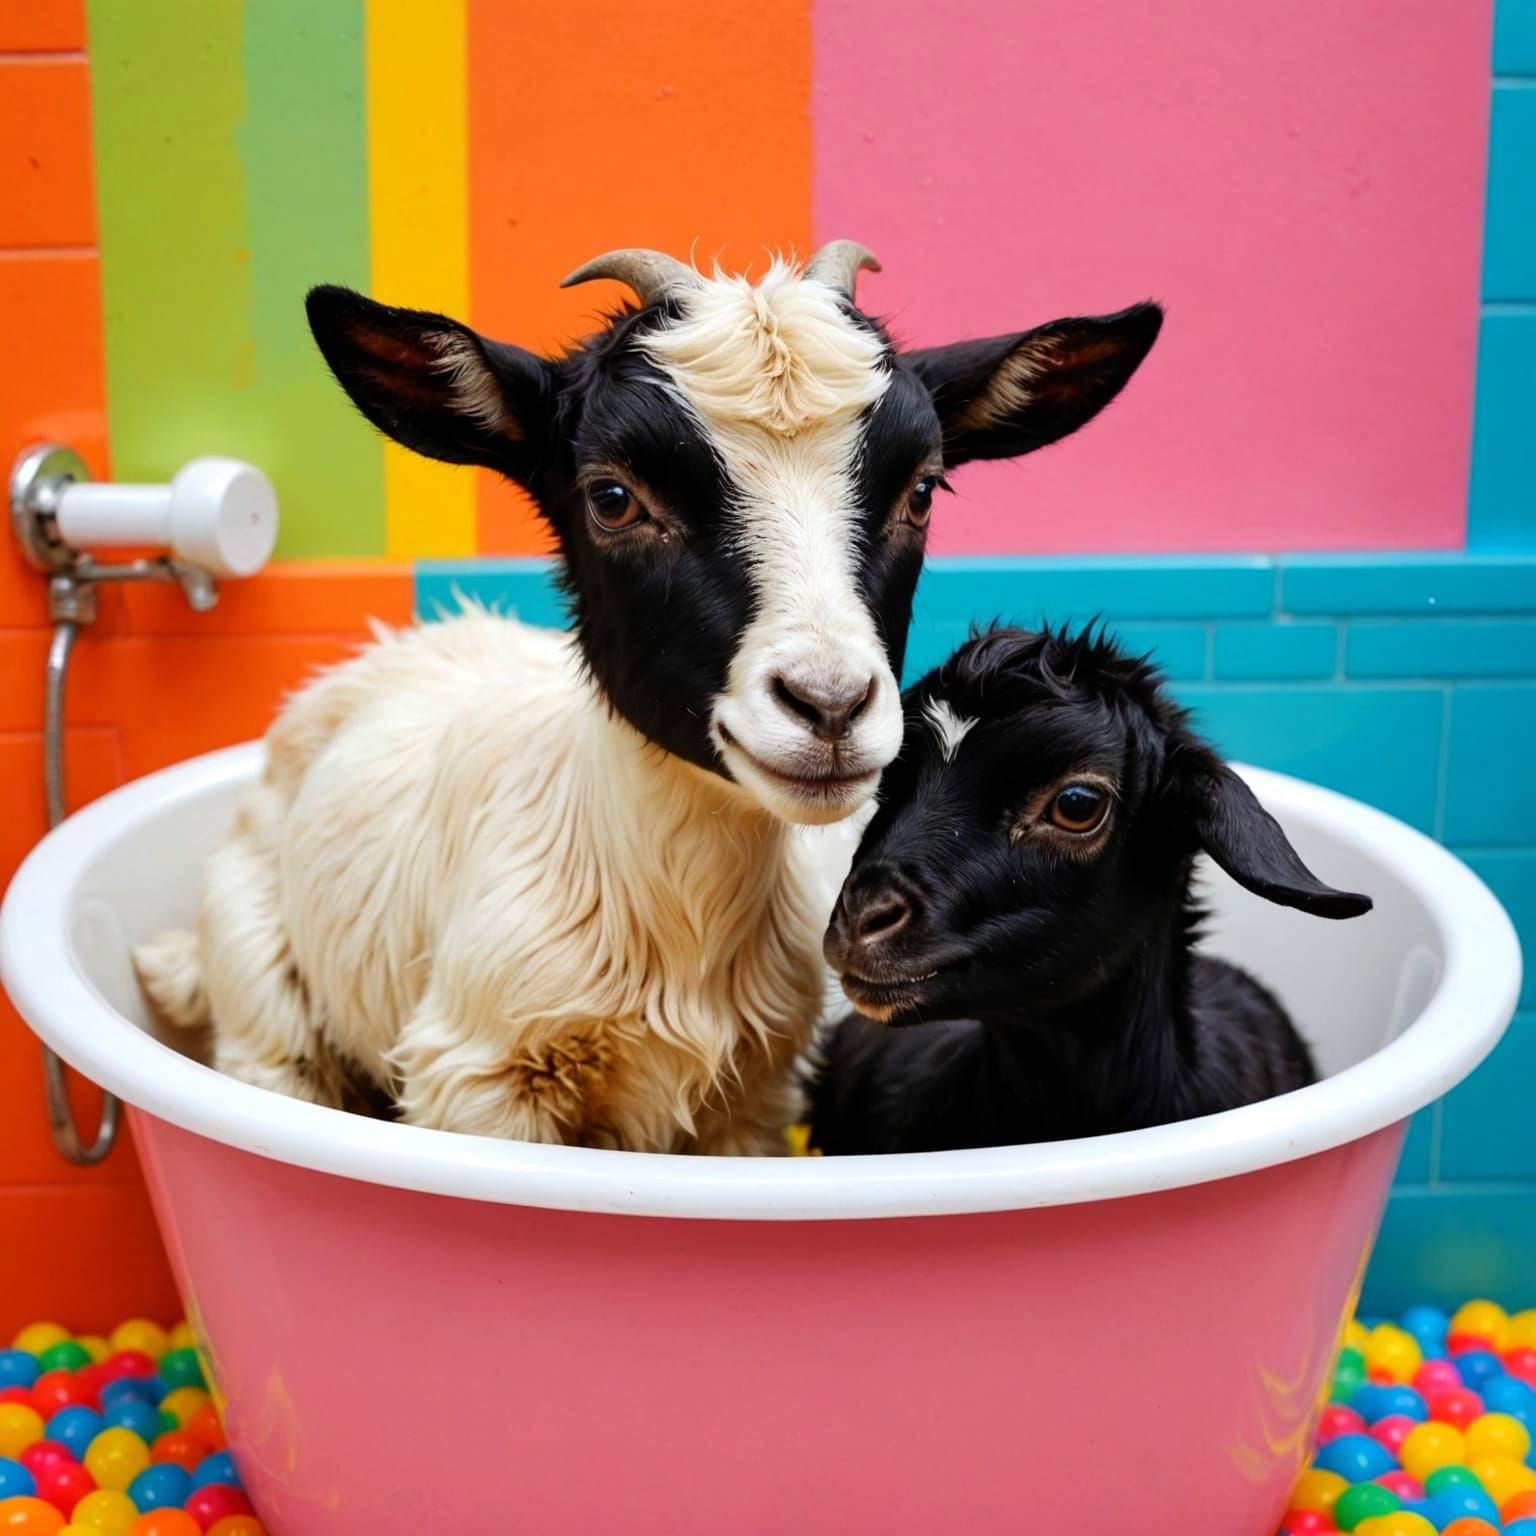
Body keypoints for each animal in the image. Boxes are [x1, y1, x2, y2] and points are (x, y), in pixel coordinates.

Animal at [135, 248, 1162, 1153]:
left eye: (921, 490)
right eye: (613, 497)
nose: (829, 707)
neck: (668, 932)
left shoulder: (750, 1101)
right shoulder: (480, 1080)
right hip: (266, 1004)